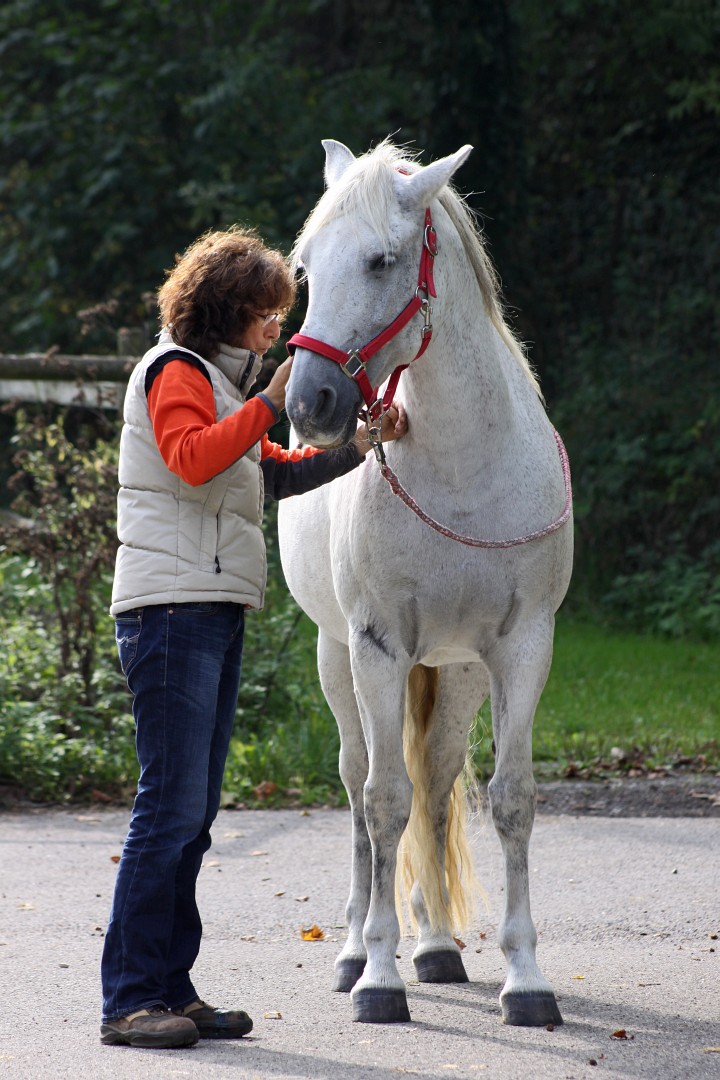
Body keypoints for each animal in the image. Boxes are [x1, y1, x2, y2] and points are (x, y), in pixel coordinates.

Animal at [280, 139, 574, 1023]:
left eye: (381, 260)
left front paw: (526, 979)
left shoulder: (521, 651)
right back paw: (352, 949)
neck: (464, 468)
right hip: (337, 660)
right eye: (304, 267)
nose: (310, 404)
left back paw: (438, 947)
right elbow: (383, 803)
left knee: (436, 780)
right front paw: (377, 977)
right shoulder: (377, 647)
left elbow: (510, 800)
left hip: (459, 672)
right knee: (359, 788)